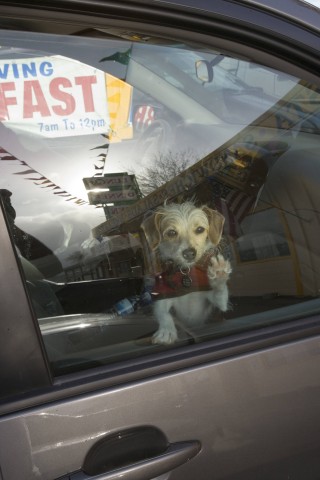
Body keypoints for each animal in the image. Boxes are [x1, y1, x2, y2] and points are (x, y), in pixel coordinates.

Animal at [141, 202, 231, 344]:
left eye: (200, 229)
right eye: (172, 232)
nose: (189, 253)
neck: (186, 272)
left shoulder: (216, 302)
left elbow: (220, 294)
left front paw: (218, 275)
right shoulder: (162, 296)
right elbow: (163, 314)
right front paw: (166, 330)